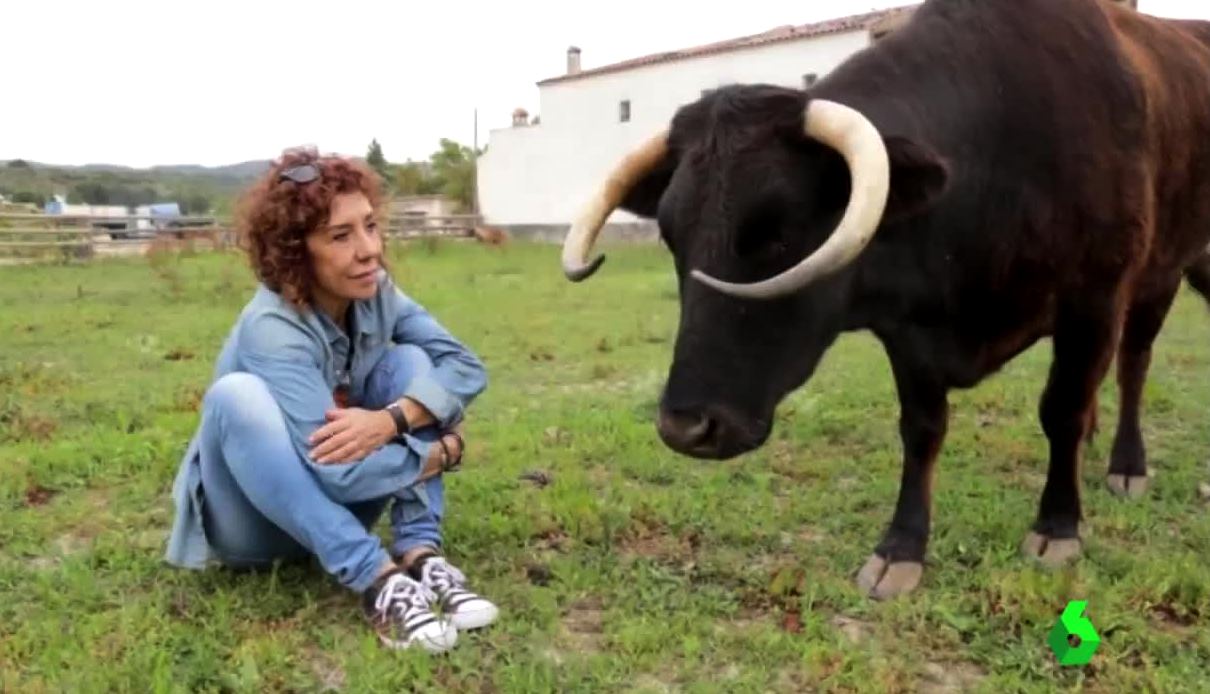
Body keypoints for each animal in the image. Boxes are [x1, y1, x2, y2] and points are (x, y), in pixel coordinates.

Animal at [558, 0, 1210, 599]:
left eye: (778, 234)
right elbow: (921, 429)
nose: (683, 426)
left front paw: (1057, 526)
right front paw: (901, 549)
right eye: (671, 235)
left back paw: (1126, 465)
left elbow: (1061, 410)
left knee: (1133, 366)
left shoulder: (1094, 299)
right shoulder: (910, 336)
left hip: (1162, 276)